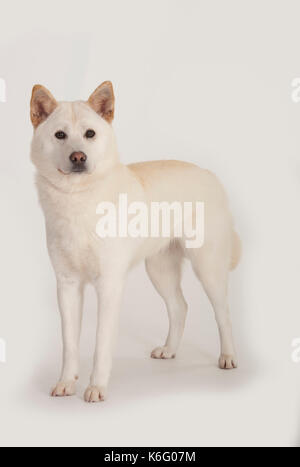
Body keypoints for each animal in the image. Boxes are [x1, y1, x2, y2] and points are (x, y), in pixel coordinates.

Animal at [29, 80, 241, 402]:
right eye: (60, 135)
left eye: (90, 134)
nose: (78, 157)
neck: (78, 199)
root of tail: (208, 174)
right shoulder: (67, 285)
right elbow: (69, 343)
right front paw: (66, 382)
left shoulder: (109, 285)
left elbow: (101, 343)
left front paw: (96, 387)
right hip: (160, 270)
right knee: (180, 307)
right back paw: (170, 350)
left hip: (208, 268)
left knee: (224, 314)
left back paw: (227, 357)